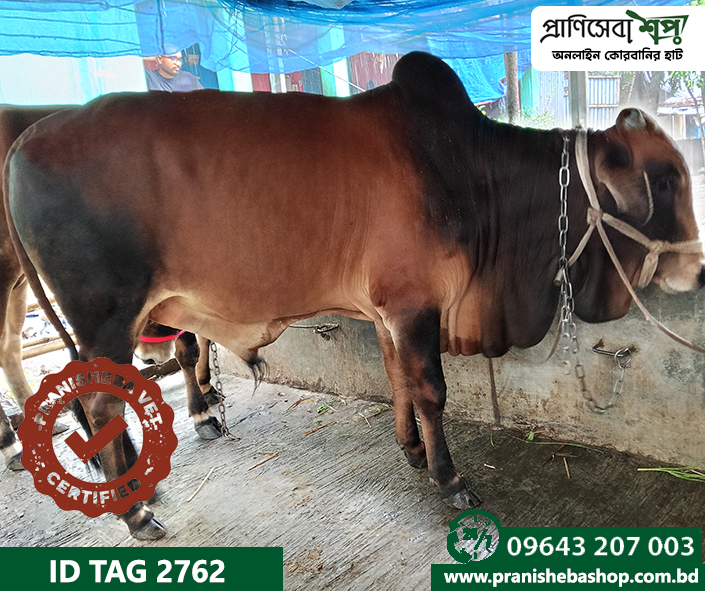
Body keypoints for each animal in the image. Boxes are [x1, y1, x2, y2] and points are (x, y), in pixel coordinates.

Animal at [0, 106, 220, 472]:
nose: (150, 358)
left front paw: (206, 390)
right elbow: (189, 346)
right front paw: (201, 411)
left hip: (20, 282)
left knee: (9, 348)